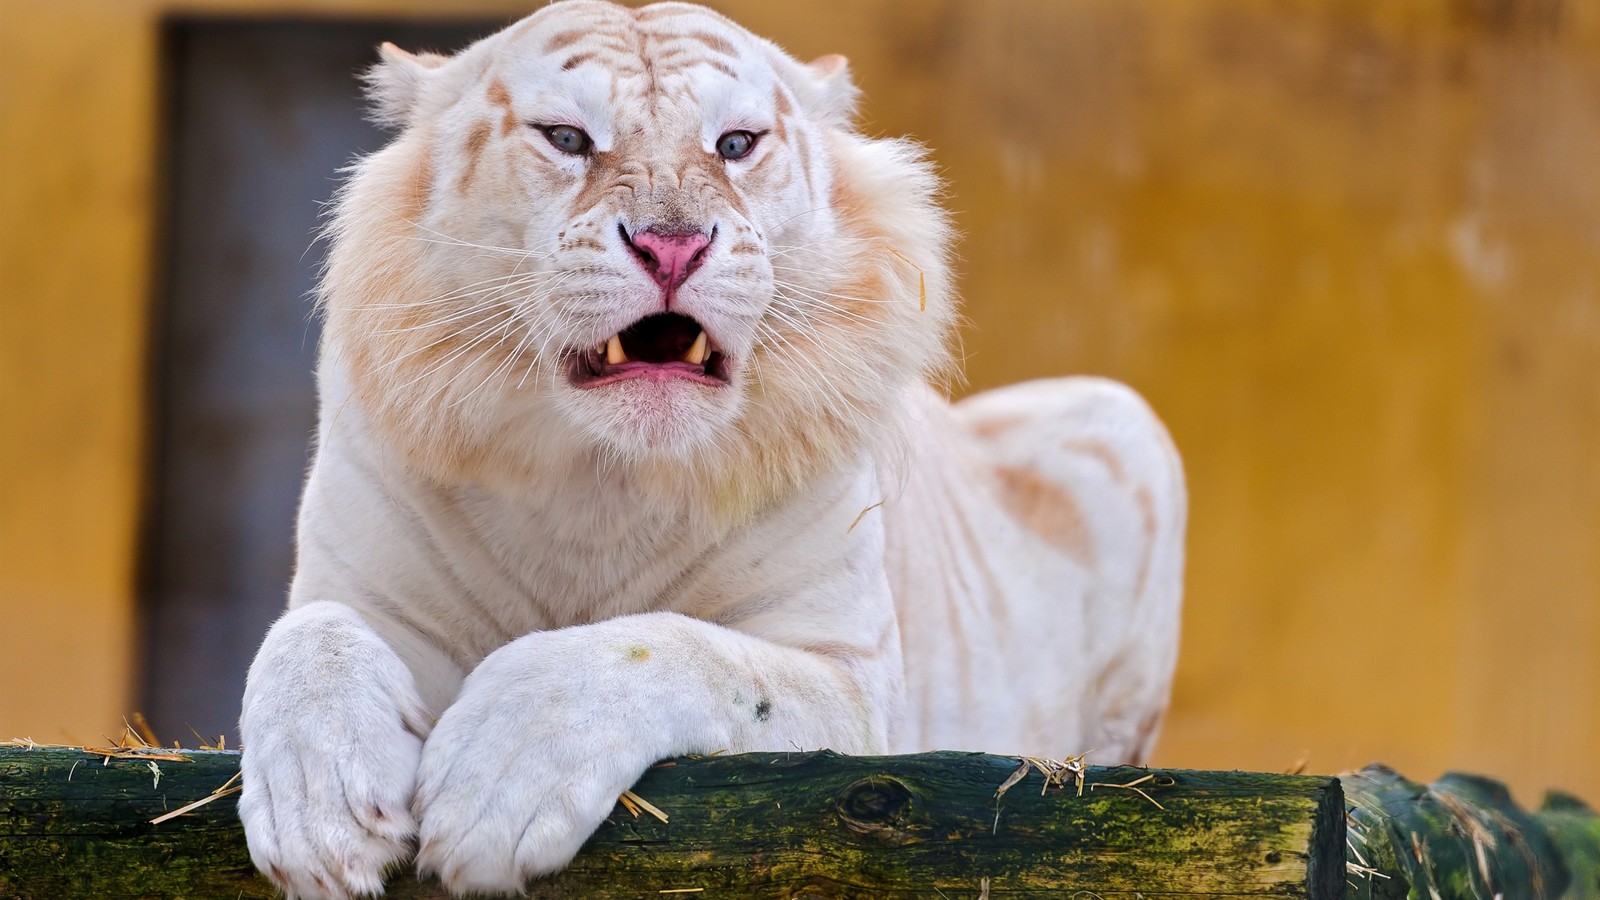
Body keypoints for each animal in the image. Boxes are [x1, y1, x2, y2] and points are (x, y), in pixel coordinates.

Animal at [240, 3, 1190, 890]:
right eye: (566, 138)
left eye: (735, 144)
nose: (673, 246)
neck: (599, 482)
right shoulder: (362, 587)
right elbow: (308, 637)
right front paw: (318, 816)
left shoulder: (855, 686)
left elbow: (676, 649)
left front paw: (492, 785)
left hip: (1122, 422)